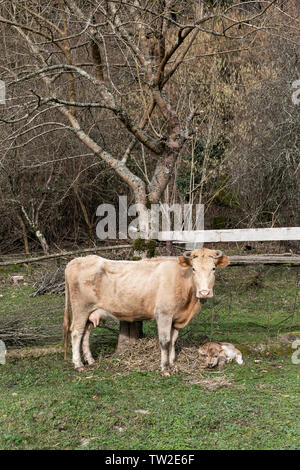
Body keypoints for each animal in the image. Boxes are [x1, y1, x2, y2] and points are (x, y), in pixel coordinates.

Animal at [62, 248, 227, 372]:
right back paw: (78, 364)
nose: (204, 292)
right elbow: (165, 341)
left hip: (91, 312)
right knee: (76, 332)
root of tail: (77, 260)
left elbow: (173, 340)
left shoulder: (175, 317)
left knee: (85, 333)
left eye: (213, 268)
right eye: (194, 269)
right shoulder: (163, 314)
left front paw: (171, 362)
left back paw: (90, 360)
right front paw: (165, 368)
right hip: (81, 309)